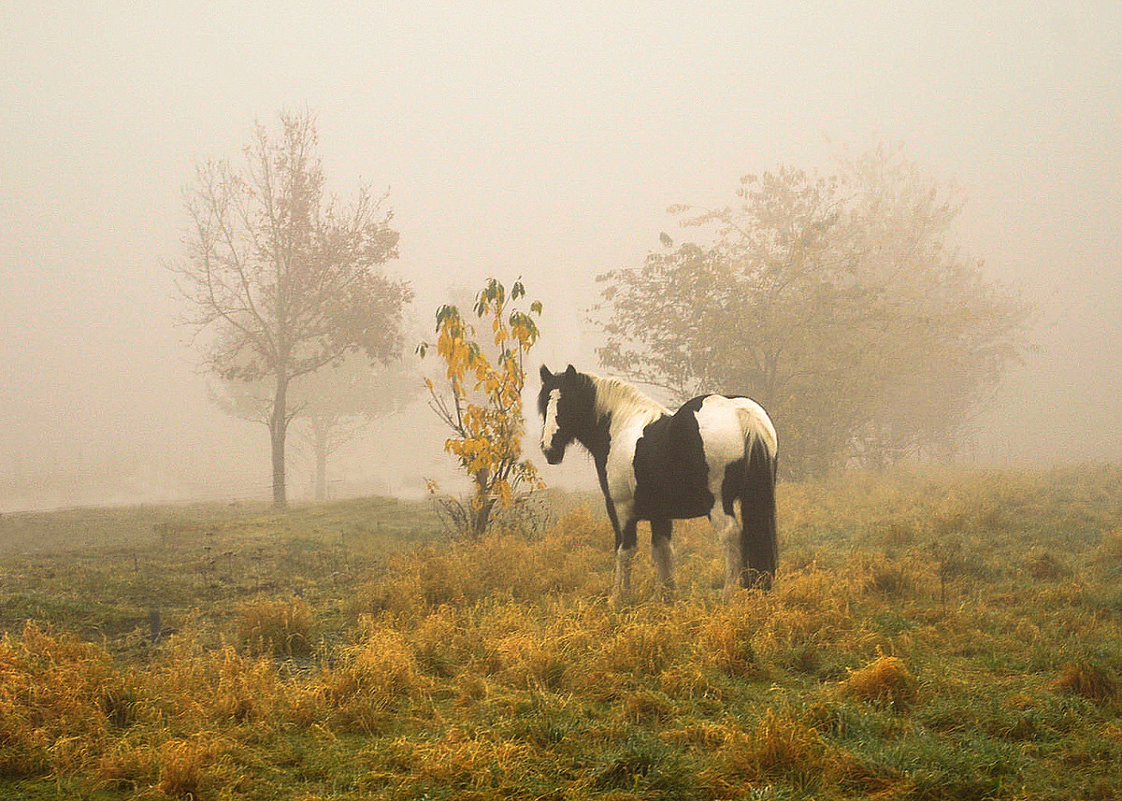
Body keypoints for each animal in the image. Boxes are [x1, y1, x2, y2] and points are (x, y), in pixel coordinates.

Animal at [538, 361, 776, 601]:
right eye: (544, 406)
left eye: (567, 404)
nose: (549, 449)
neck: (619, 427)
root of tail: (740, 412)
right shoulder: (659, 513)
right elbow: (663, 551)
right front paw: (666, 598)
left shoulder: (621, 508)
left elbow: (625, 551)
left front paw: (618, 598)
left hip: (718, 503)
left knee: (730, 536)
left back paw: (727, 596)